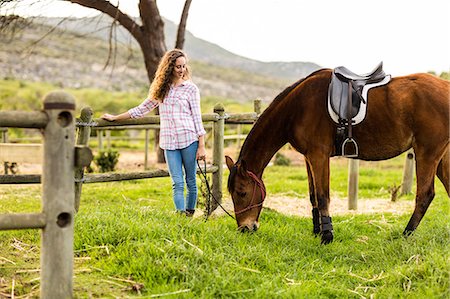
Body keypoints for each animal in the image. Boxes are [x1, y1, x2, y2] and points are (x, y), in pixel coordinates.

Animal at [227, 69, 450, 245]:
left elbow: (323, 196)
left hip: (427, 153)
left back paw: (406, 234)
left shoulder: (319, 155)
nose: (245, 229)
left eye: (241, 193)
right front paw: (317, 231)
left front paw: (327, 236)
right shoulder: (308, 158)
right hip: (440, 158)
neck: (297, 108)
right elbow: (313, 196)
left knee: (425, 195)